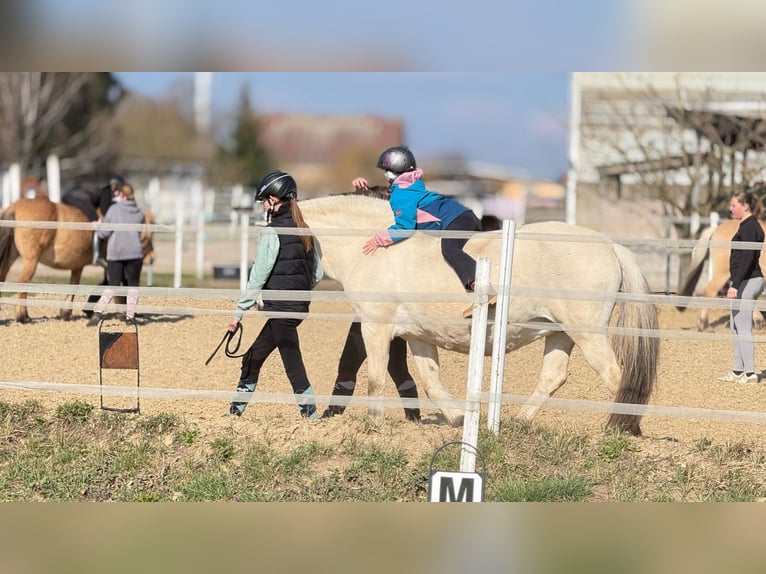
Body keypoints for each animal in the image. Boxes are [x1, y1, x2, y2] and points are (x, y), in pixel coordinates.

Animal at [0, 196, 155, 323]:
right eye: (149, 234)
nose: (152, 258)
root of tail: (14, 207)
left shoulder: (77, 266)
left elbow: (75, 286)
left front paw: (66, 312)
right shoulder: (111, 265)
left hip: (12, 256)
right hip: (31, 260)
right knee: (23, 282)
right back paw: (22, 316)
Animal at [299, 194, 659, 436]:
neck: (372, 251)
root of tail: (611, 246)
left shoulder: (375, 327)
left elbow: (375, 379)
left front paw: (374, 425)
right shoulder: (418, 336)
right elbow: (430, 382)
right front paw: (459, 419)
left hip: (587, 333)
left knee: (615, 375)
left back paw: (624, 429)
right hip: (560, 333)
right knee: (554, 376)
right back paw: (517, 423)